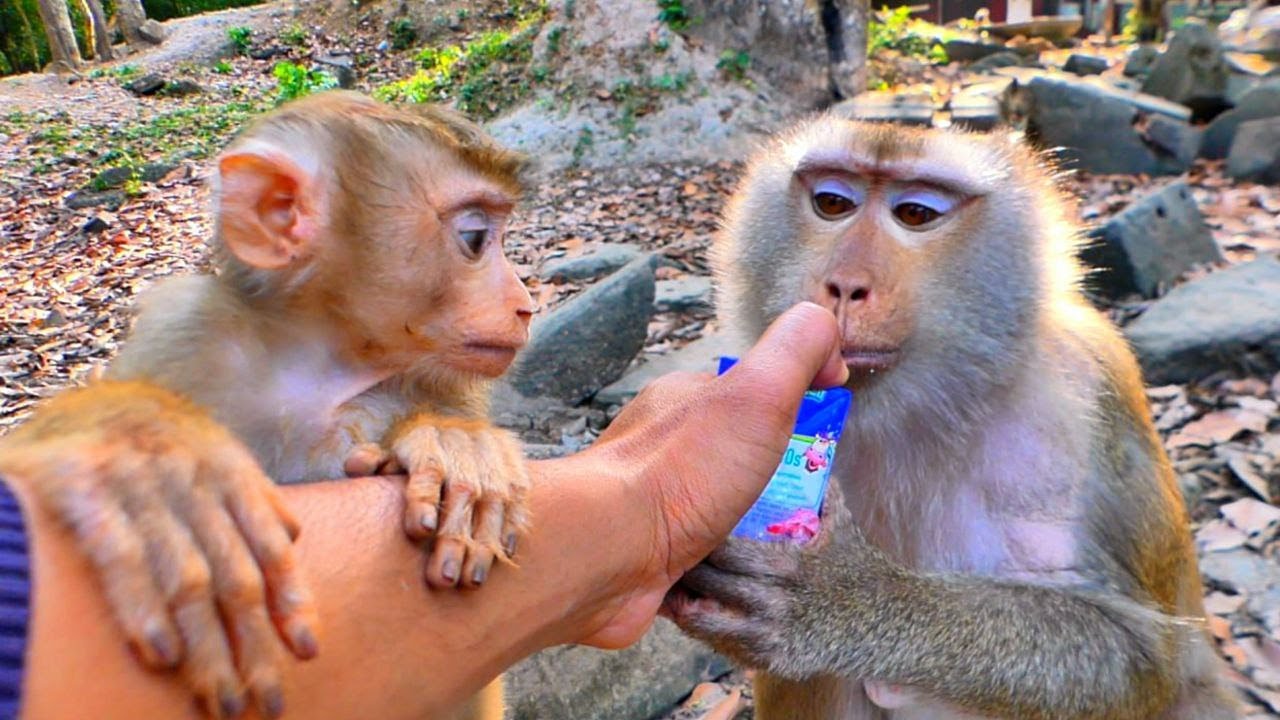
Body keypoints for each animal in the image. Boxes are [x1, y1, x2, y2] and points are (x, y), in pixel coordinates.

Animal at [0, 91, 534, 719]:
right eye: (475, 237)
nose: (525, 304)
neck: (317, 365)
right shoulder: (184, 331)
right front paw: (143, 451)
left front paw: (456, 444)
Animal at [663, 118, 1239, 719]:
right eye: (832, 203)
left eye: (916, 214)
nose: (844, 284)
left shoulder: (1086, 391)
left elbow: (1135, 657)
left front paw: (841, 595)